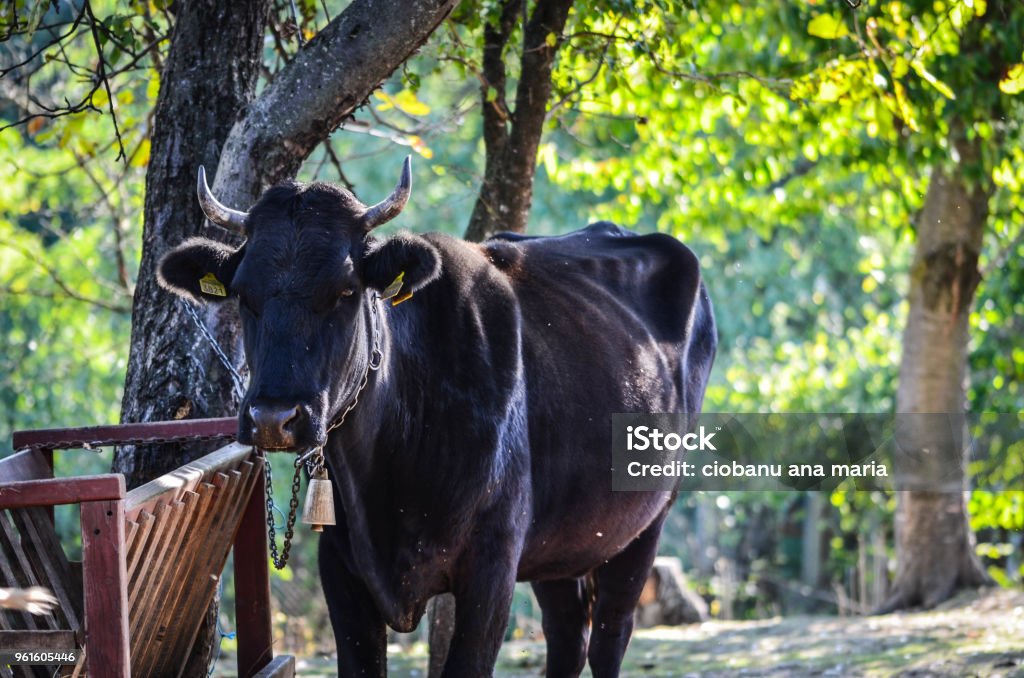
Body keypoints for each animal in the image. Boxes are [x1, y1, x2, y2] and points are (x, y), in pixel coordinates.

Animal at [157, 158, 716, 677]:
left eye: (345, 290)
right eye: (243, 294)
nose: (274, 417)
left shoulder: (492, 568)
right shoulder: (341, 569)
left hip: (647, 519)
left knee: (608, 637)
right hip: (562, 541)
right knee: (566, 636)